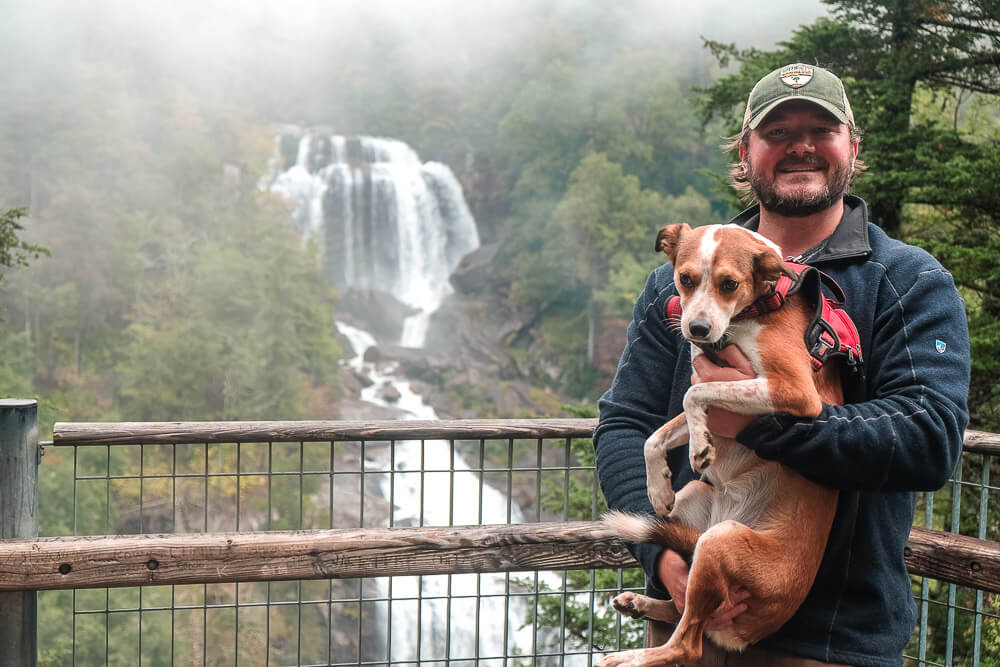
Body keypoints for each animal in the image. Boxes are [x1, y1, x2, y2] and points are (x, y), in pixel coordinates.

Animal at [596, 224, 848, 667]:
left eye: (729, 284)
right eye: (685, 279)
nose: (696, 330)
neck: (755, 308)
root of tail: (751, 633)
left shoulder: (795, 392)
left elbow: (692, 395)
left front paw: (699, 445)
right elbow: (655, 437)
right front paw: (658, 488)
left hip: (720, 543)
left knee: (688, 643)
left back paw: (632, 657)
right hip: (695, 505)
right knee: (685, 606)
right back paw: (643, 603)